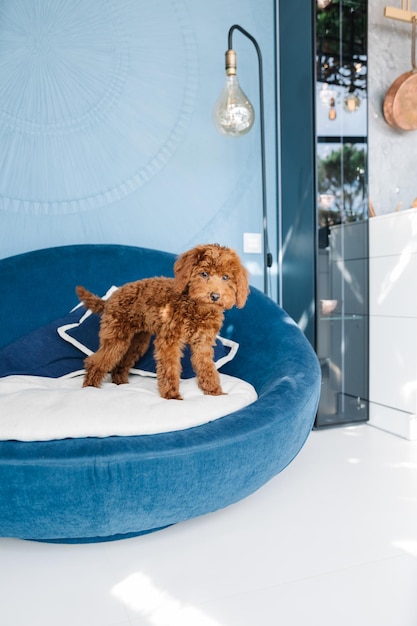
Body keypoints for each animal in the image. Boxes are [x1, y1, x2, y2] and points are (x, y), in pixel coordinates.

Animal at [75, 241, 247, 398]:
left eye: (225, 277)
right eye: (204, 274)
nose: (215, 296)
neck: (197, 308)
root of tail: (109, 299)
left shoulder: (203, 344)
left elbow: (207, 368)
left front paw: (214, 392)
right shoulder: (169, 342)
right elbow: (170, 368)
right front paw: (171, 395)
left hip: (137, 342)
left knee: (121, 364)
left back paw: (121, 383)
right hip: (116, 338)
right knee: (96, 361)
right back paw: (90, 387)